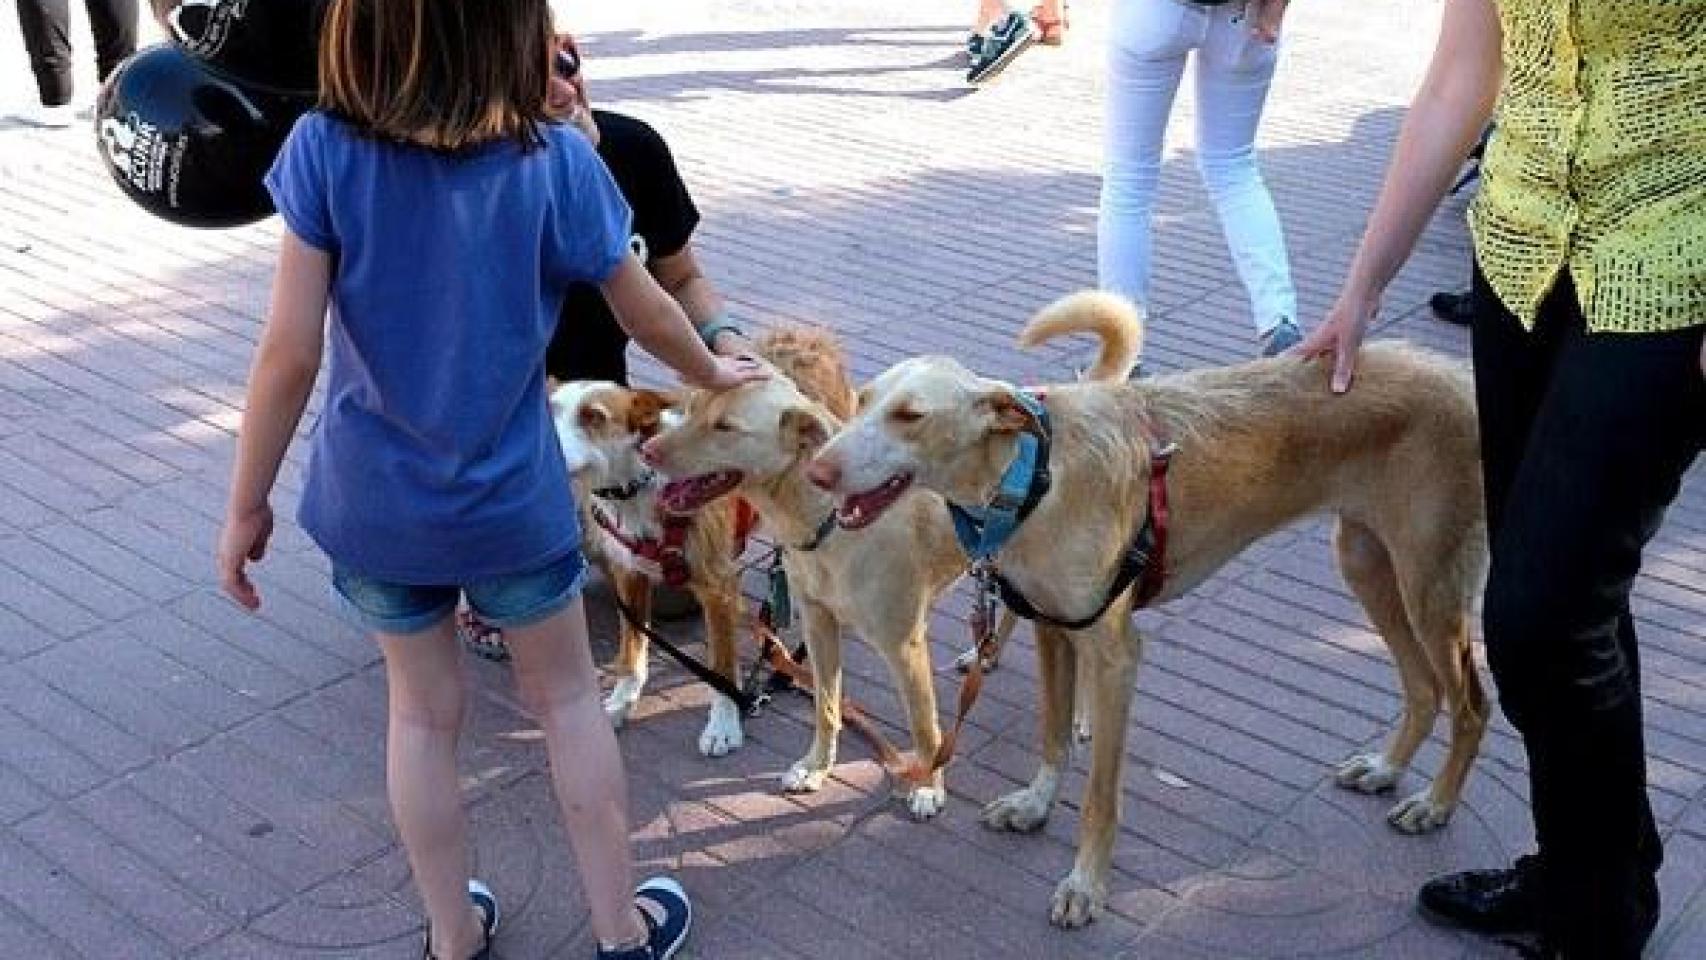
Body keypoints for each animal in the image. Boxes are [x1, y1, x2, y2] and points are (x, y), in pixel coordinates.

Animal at [549, 383, 757, 760]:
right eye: (551, 411)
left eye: (594, 417)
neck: (636, 490)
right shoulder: (630, 576)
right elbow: (631, 652)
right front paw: (622, 702)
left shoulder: (718, 587)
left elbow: (721, 667)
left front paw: (723, 725)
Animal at [805, 294, 1487, 934]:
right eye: (862, 401)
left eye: (910, 416)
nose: (817, 470)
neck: (1035, 476)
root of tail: (1458, 375)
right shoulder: (1055, 630)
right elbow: (1053, 737)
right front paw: (1035, 805)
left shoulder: (1115, 657)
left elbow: (1099, 795)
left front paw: (1086, 886)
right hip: (1367, 563)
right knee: (1424, 688)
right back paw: (1387, 770)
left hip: (1430, 587)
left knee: (1472, 704)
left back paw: (1435, 805)